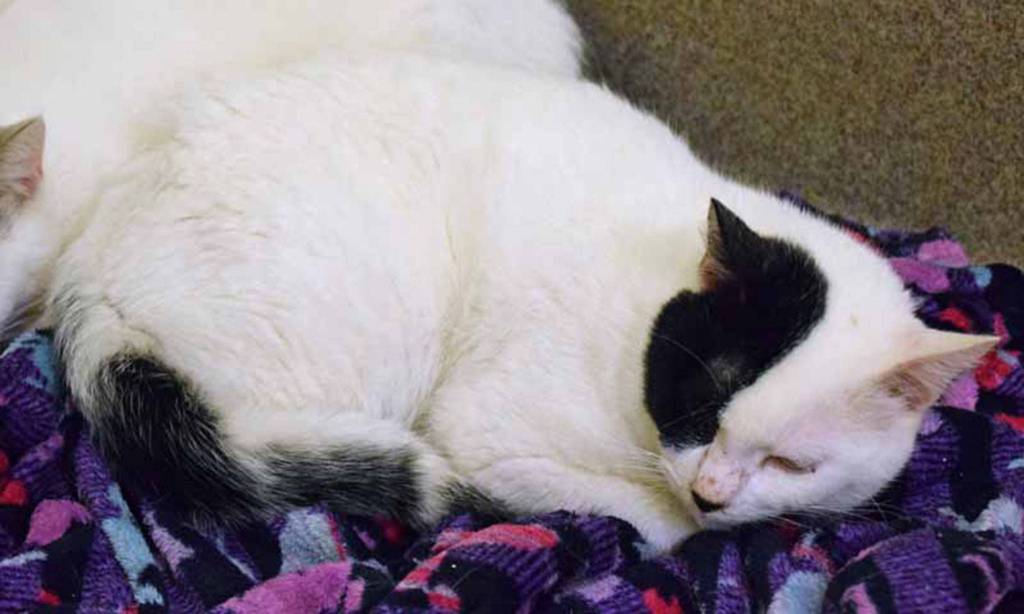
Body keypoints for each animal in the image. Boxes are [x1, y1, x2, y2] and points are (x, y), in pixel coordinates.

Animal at [4, 5, 998, 552]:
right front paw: (668, 516)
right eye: (705, 397)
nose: (715, 488)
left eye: (795, 461)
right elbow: (657, 527)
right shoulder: (492, 433)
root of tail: (90, 265)